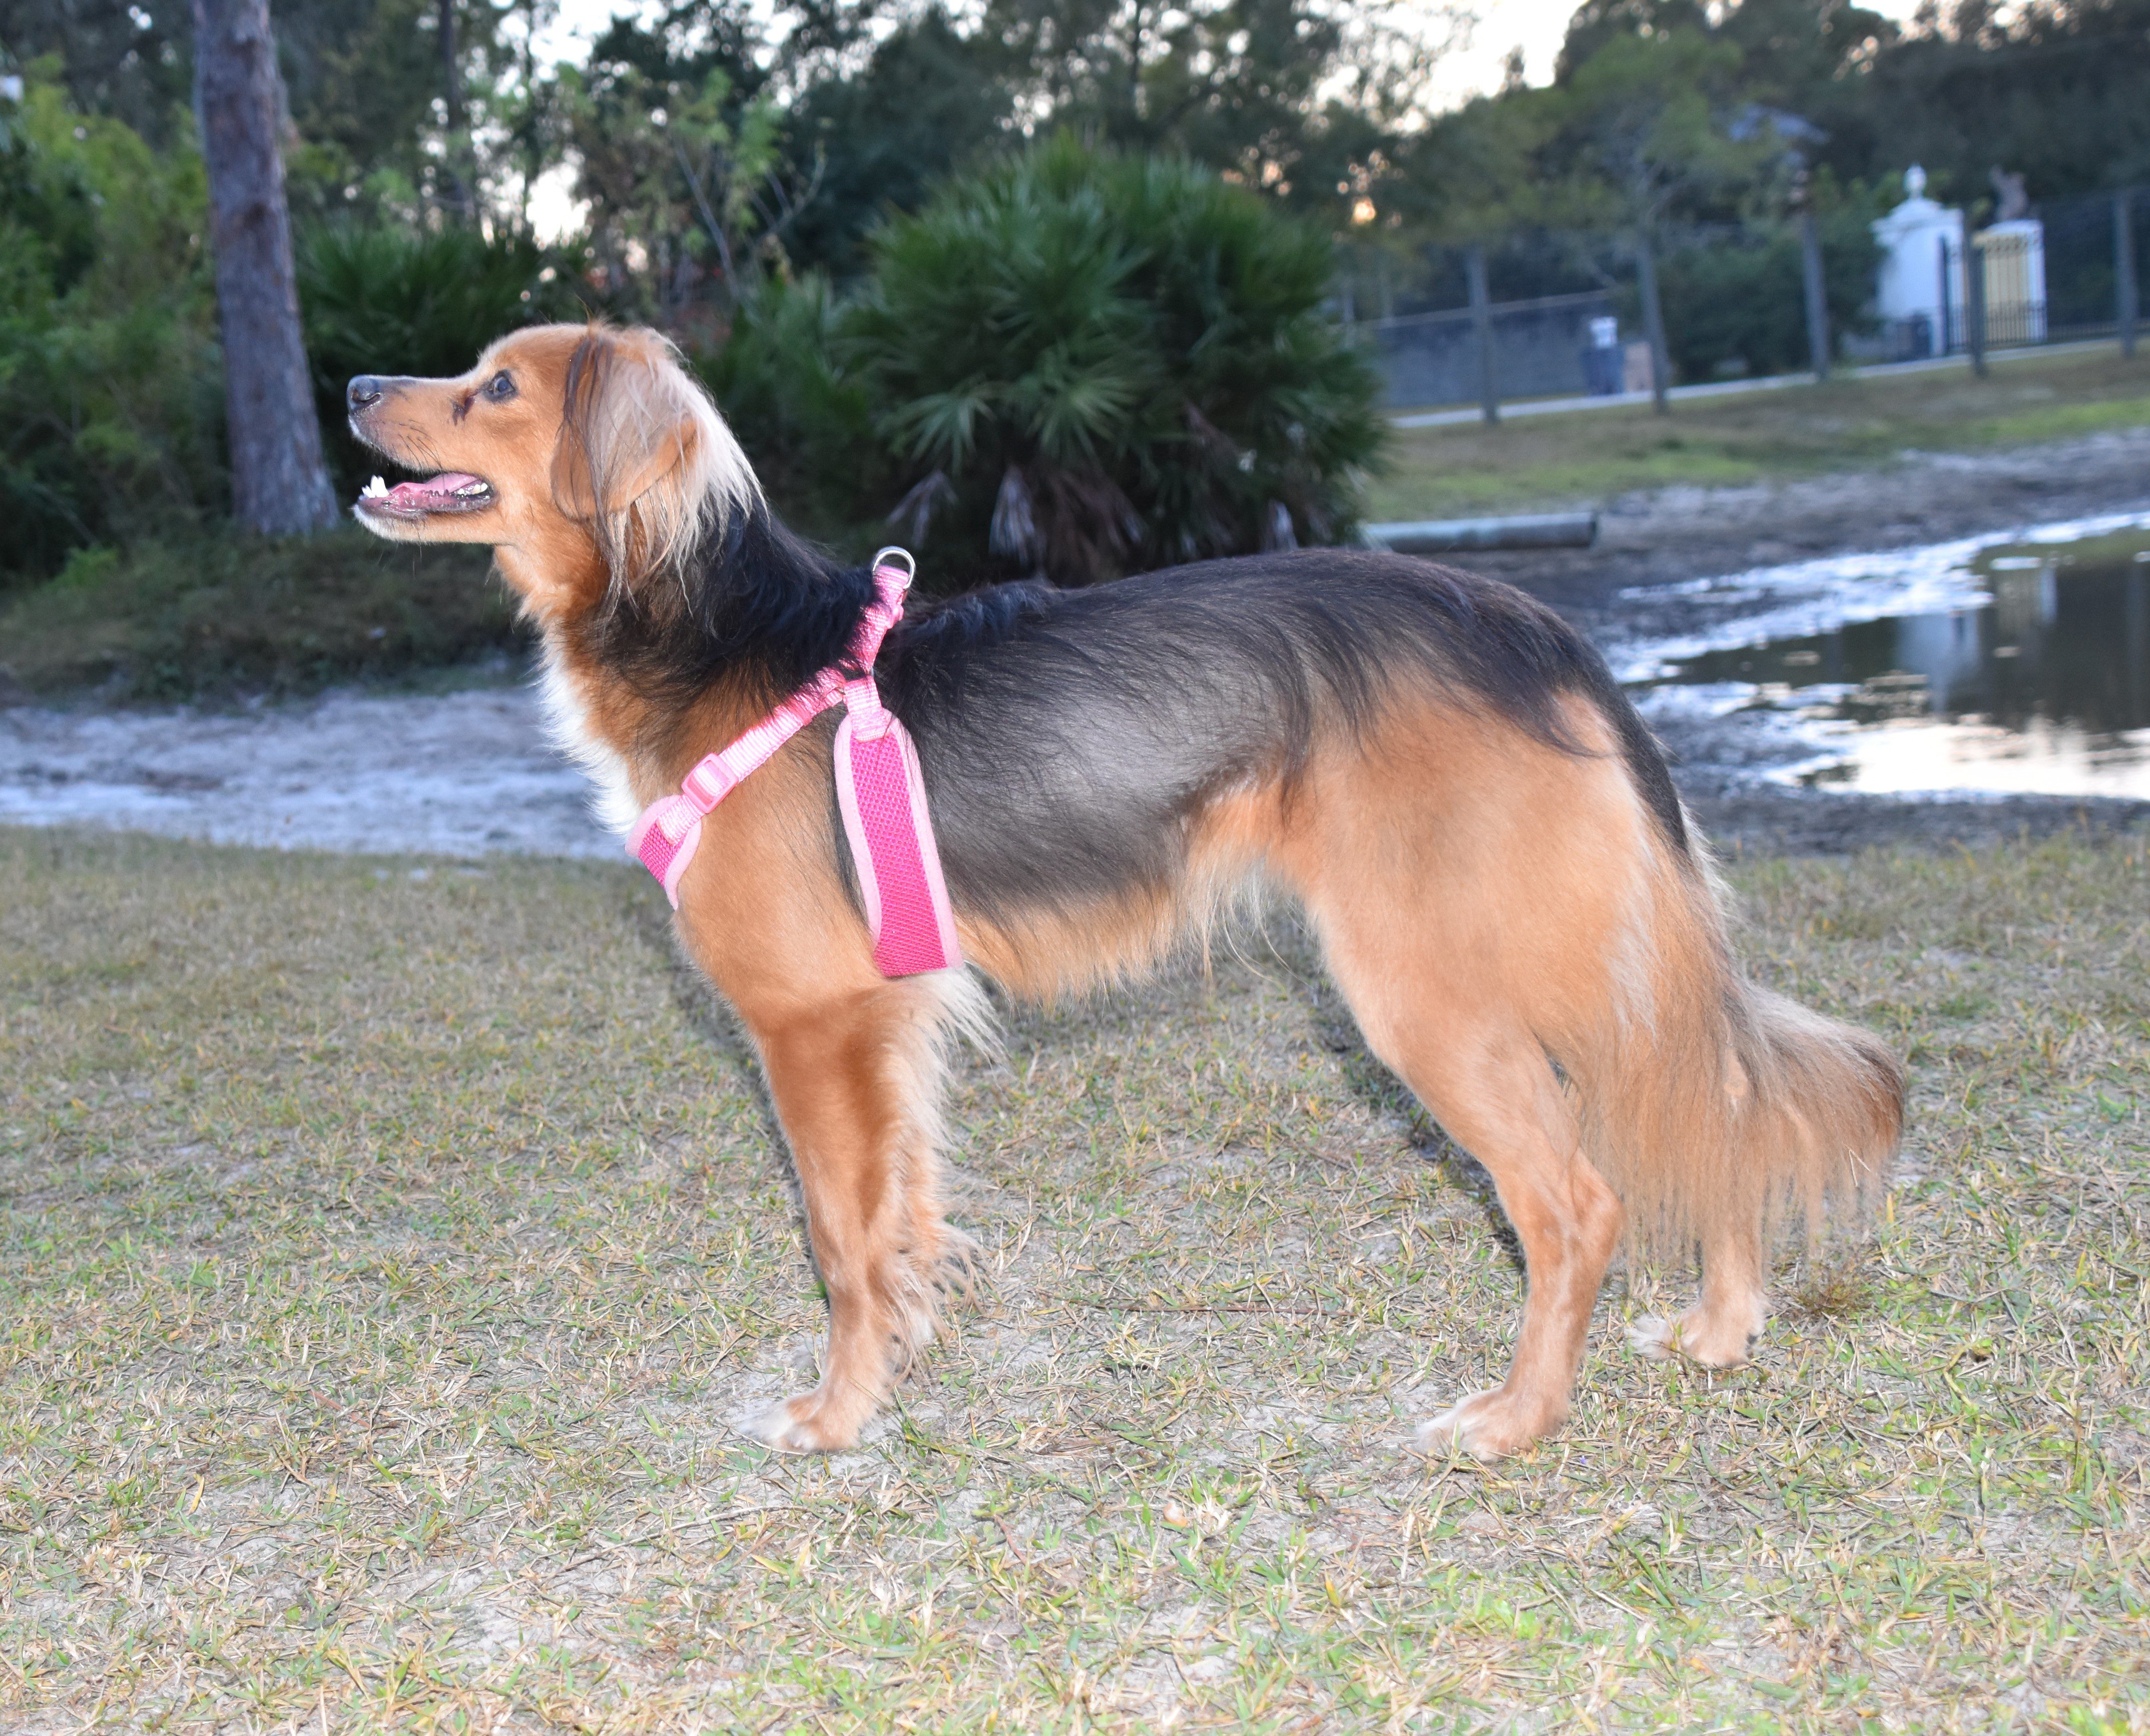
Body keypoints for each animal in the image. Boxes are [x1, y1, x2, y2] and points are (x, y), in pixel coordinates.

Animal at [344, 318, 1909, 1461]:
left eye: (494, 385)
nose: (356, 383)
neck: (716, 636)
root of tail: (1536, 624)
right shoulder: (887, 1033)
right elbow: (898, 1223)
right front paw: (907, 1358)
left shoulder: (812, 1028)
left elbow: (838, 1240)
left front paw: (839, 1415)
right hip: (1553, 958)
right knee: (1710, 1102)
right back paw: (1721, 1327)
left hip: (1437, 989)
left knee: (1580, 1202)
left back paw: (1519, 1420)